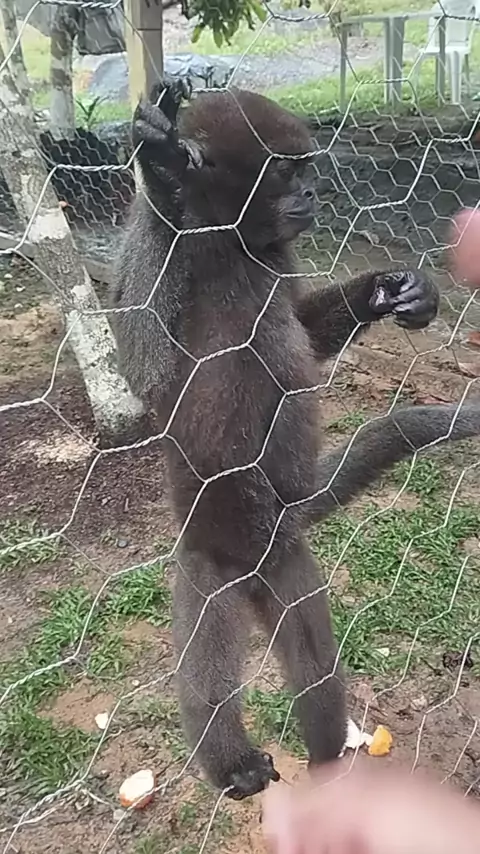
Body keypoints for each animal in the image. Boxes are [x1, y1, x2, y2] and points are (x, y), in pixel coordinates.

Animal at [110, 79, 480, 800]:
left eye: (307, 168)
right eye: (287, 169)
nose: (315, 191)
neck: (234, 246)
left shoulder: (279, 255)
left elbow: (303, 335)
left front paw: (389, 292)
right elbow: (143, 364)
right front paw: (161, 176)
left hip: (280, 558)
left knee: (312, 666)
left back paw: (327, 760)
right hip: (206, 557)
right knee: (210, 665)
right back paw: (234, 761)